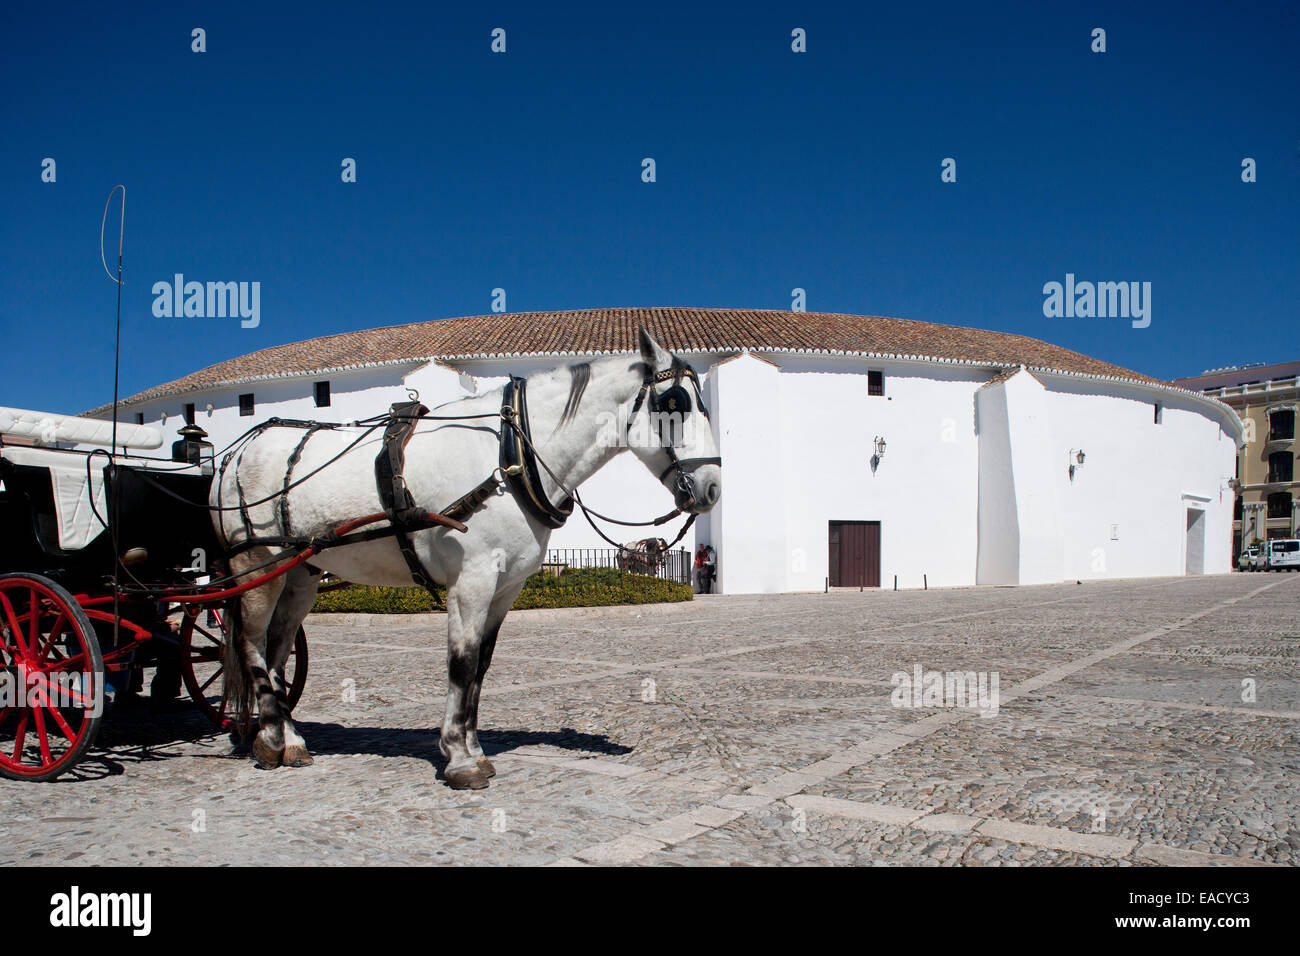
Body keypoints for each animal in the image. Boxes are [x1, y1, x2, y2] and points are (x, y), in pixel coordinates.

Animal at [210, 332, 722, 790]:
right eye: (673, 401)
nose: (713, 487)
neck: (509, 456)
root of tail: (235, 453)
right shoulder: (471, 579)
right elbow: (462, 661)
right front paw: (459, 758)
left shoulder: (507, 586)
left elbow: (481, 664)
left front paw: (473, 747)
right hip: (257, 563)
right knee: (252, 644)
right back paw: (271, 739)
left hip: (300, 572)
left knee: (278, 648)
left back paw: (289, 739)